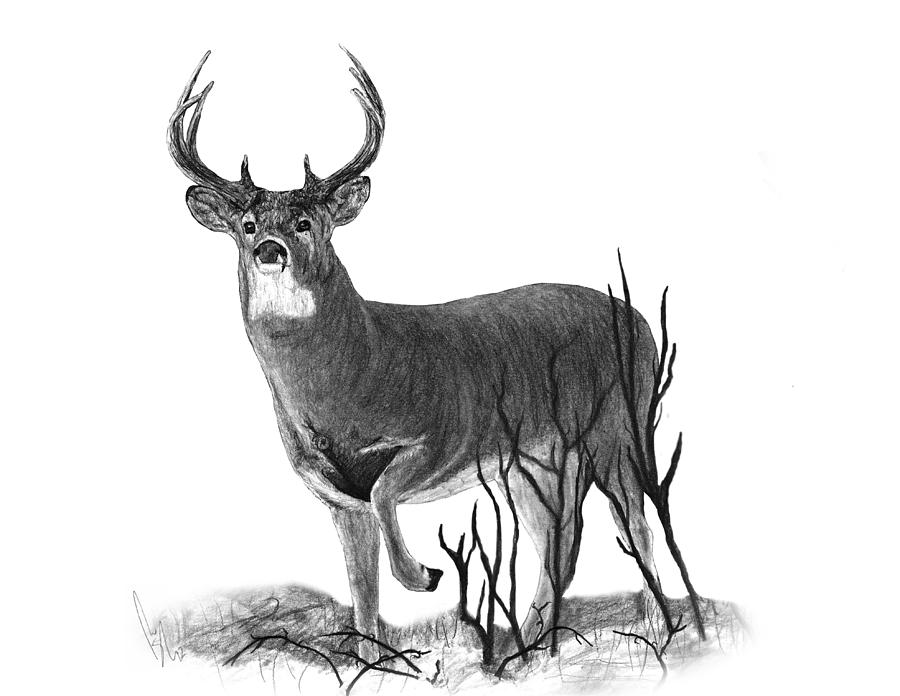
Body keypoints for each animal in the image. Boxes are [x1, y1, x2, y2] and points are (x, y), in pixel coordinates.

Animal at [168, 49, 665, 659]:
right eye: (247, 224)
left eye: (307, 222)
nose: (269, 249)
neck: (353, 376)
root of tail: (640, 321)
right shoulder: (336, 494)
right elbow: (362, 589)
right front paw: (372, 661)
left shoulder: (443, 434)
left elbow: (385, 494)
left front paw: (426, 575)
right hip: (534, 461)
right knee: (561, 538)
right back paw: (525, 647)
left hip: (619, 429)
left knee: (635, 525)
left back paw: (666, 629)